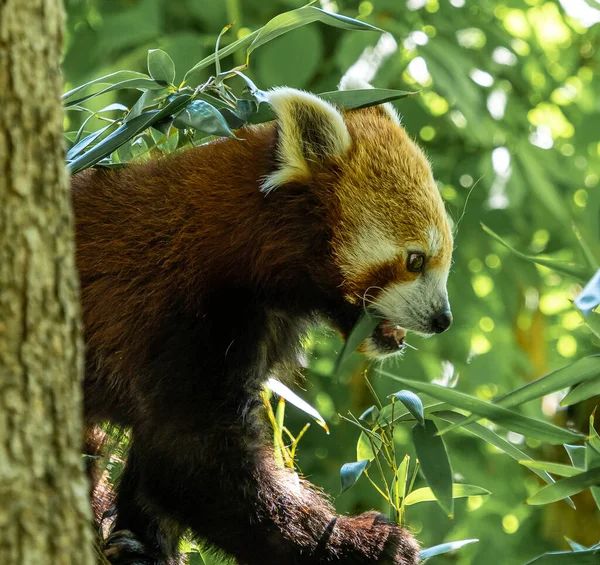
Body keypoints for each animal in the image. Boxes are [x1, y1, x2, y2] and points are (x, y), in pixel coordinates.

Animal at [74, 79, 450, 564]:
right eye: (415, 260)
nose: (443, 318)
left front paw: (143, 546)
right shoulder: (183, 311)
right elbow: (189, 458)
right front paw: (363, 542)